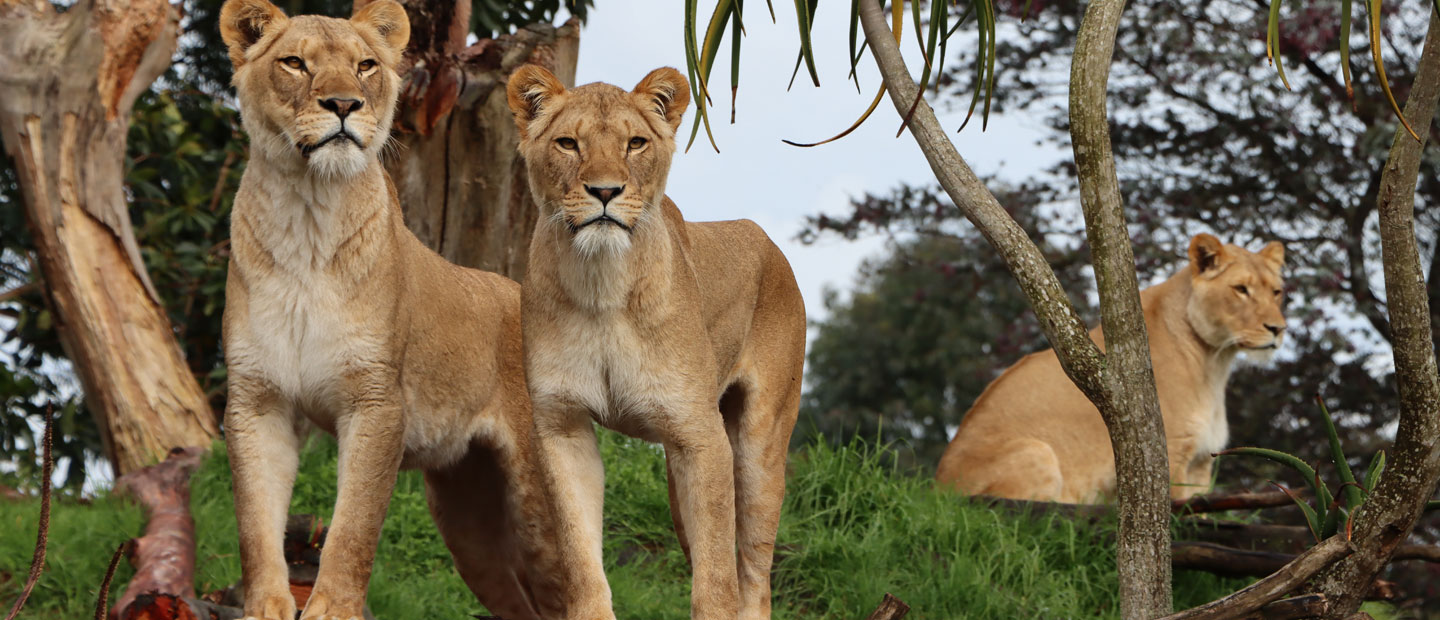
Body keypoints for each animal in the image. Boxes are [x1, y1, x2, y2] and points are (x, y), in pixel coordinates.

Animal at [218, 2, 568, 618]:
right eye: (294, 63)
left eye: (365, 66)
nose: (343, 105)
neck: (307, 213)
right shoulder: (257, 400)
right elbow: (256, 524)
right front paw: (267, 606)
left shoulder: (377, 400)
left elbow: (352, 526)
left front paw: (331, 609)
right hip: (469, 518)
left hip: (538, 504)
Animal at [505, 65, 807, 620]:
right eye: (568, 143)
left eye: (635, 143)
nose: (605, 191)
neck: (602, 285)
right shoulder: (561, 427)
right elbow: (580, 558)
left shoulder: (701, 438)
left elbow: (716, 584)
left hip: (758, 446)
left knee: (753, 577)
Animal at [935, 234, 1286, 503]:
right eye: (1241, 289)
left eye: (1276, 292)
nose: (1278, 329)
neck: (1214, 362)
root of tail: (936, 485)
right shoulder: (1169, 453)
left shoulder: (1201, 463)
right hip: (1036, 452)